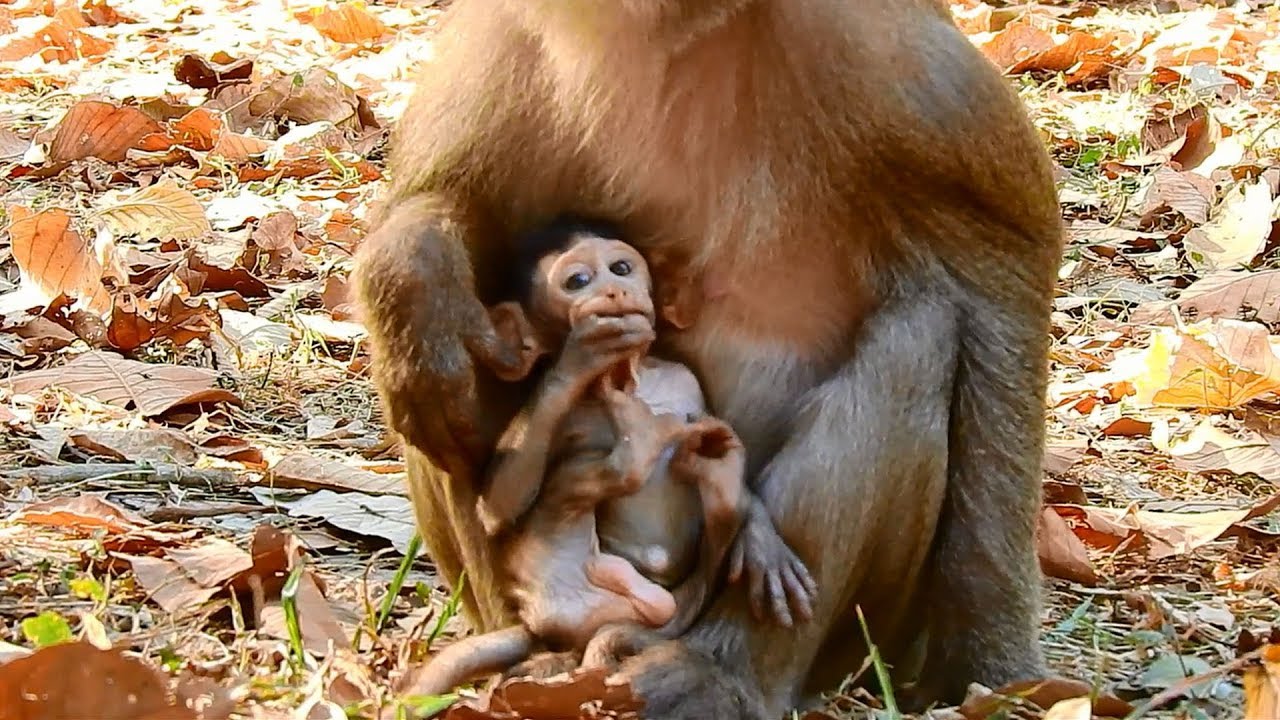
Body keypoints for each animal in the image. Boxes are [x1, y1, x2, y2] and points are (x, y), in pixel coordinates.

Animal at [401, 220, 816, 697]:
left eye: (620, 267)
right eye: (578, 280)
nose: (615, 290)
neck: (633, 379)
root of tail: (536, 627)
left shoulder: (686, 381)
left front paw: (760, 535)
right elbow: (498, 506)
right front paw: (581, 358)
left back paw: (721, 493)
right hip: (568, 598)